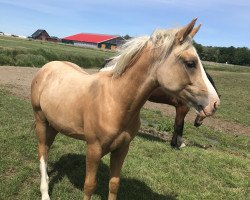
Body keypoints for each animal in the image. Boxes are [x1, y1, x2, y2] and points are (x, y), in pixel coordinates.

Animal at [31, 18, 221, 199]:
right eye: (190, 63)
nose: (214, 103)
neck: (115, 100)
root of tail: (47, 67)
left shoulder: (122, 149)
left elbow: (114, 184)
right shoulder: (93, 149)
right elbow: (89, 186)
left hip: (54, 124)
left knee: (46, 148)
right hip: (41, 120)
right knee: (42, 151)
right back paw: (45, 192)